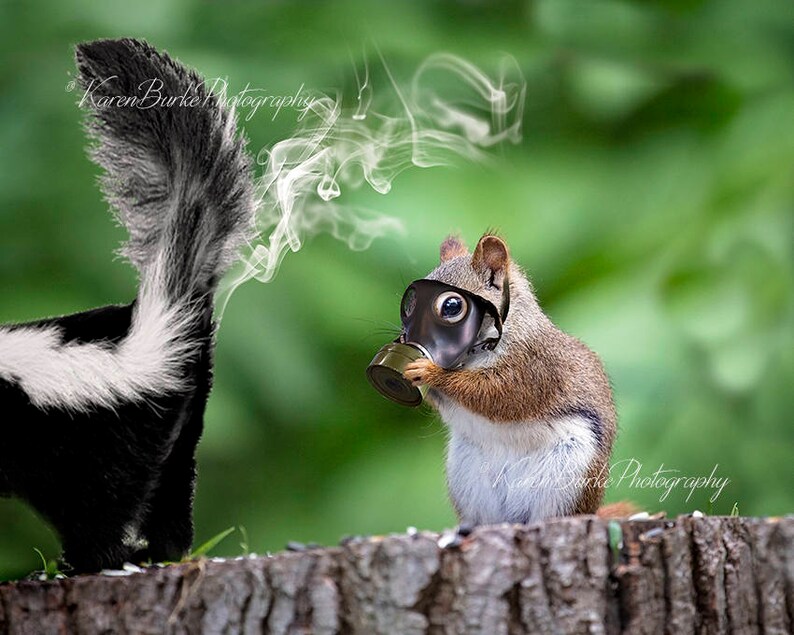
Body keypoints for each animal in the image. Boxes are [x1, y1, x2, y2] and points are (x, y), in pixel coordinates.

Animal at [0, 39, 255, 573]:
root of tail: (156, 324)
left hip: (98, 448)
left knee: (99, 509)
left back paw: (92, 560)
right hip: (185, 420)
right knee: (173, 492)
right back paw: (164, 551)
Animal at [401, 233, 625, 524]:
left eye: (451, 306)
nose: (406, 338)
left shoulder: (534, 368)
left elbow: (497, 395)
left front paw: (430, 371)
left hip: (568, 480)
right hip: (468, 480)